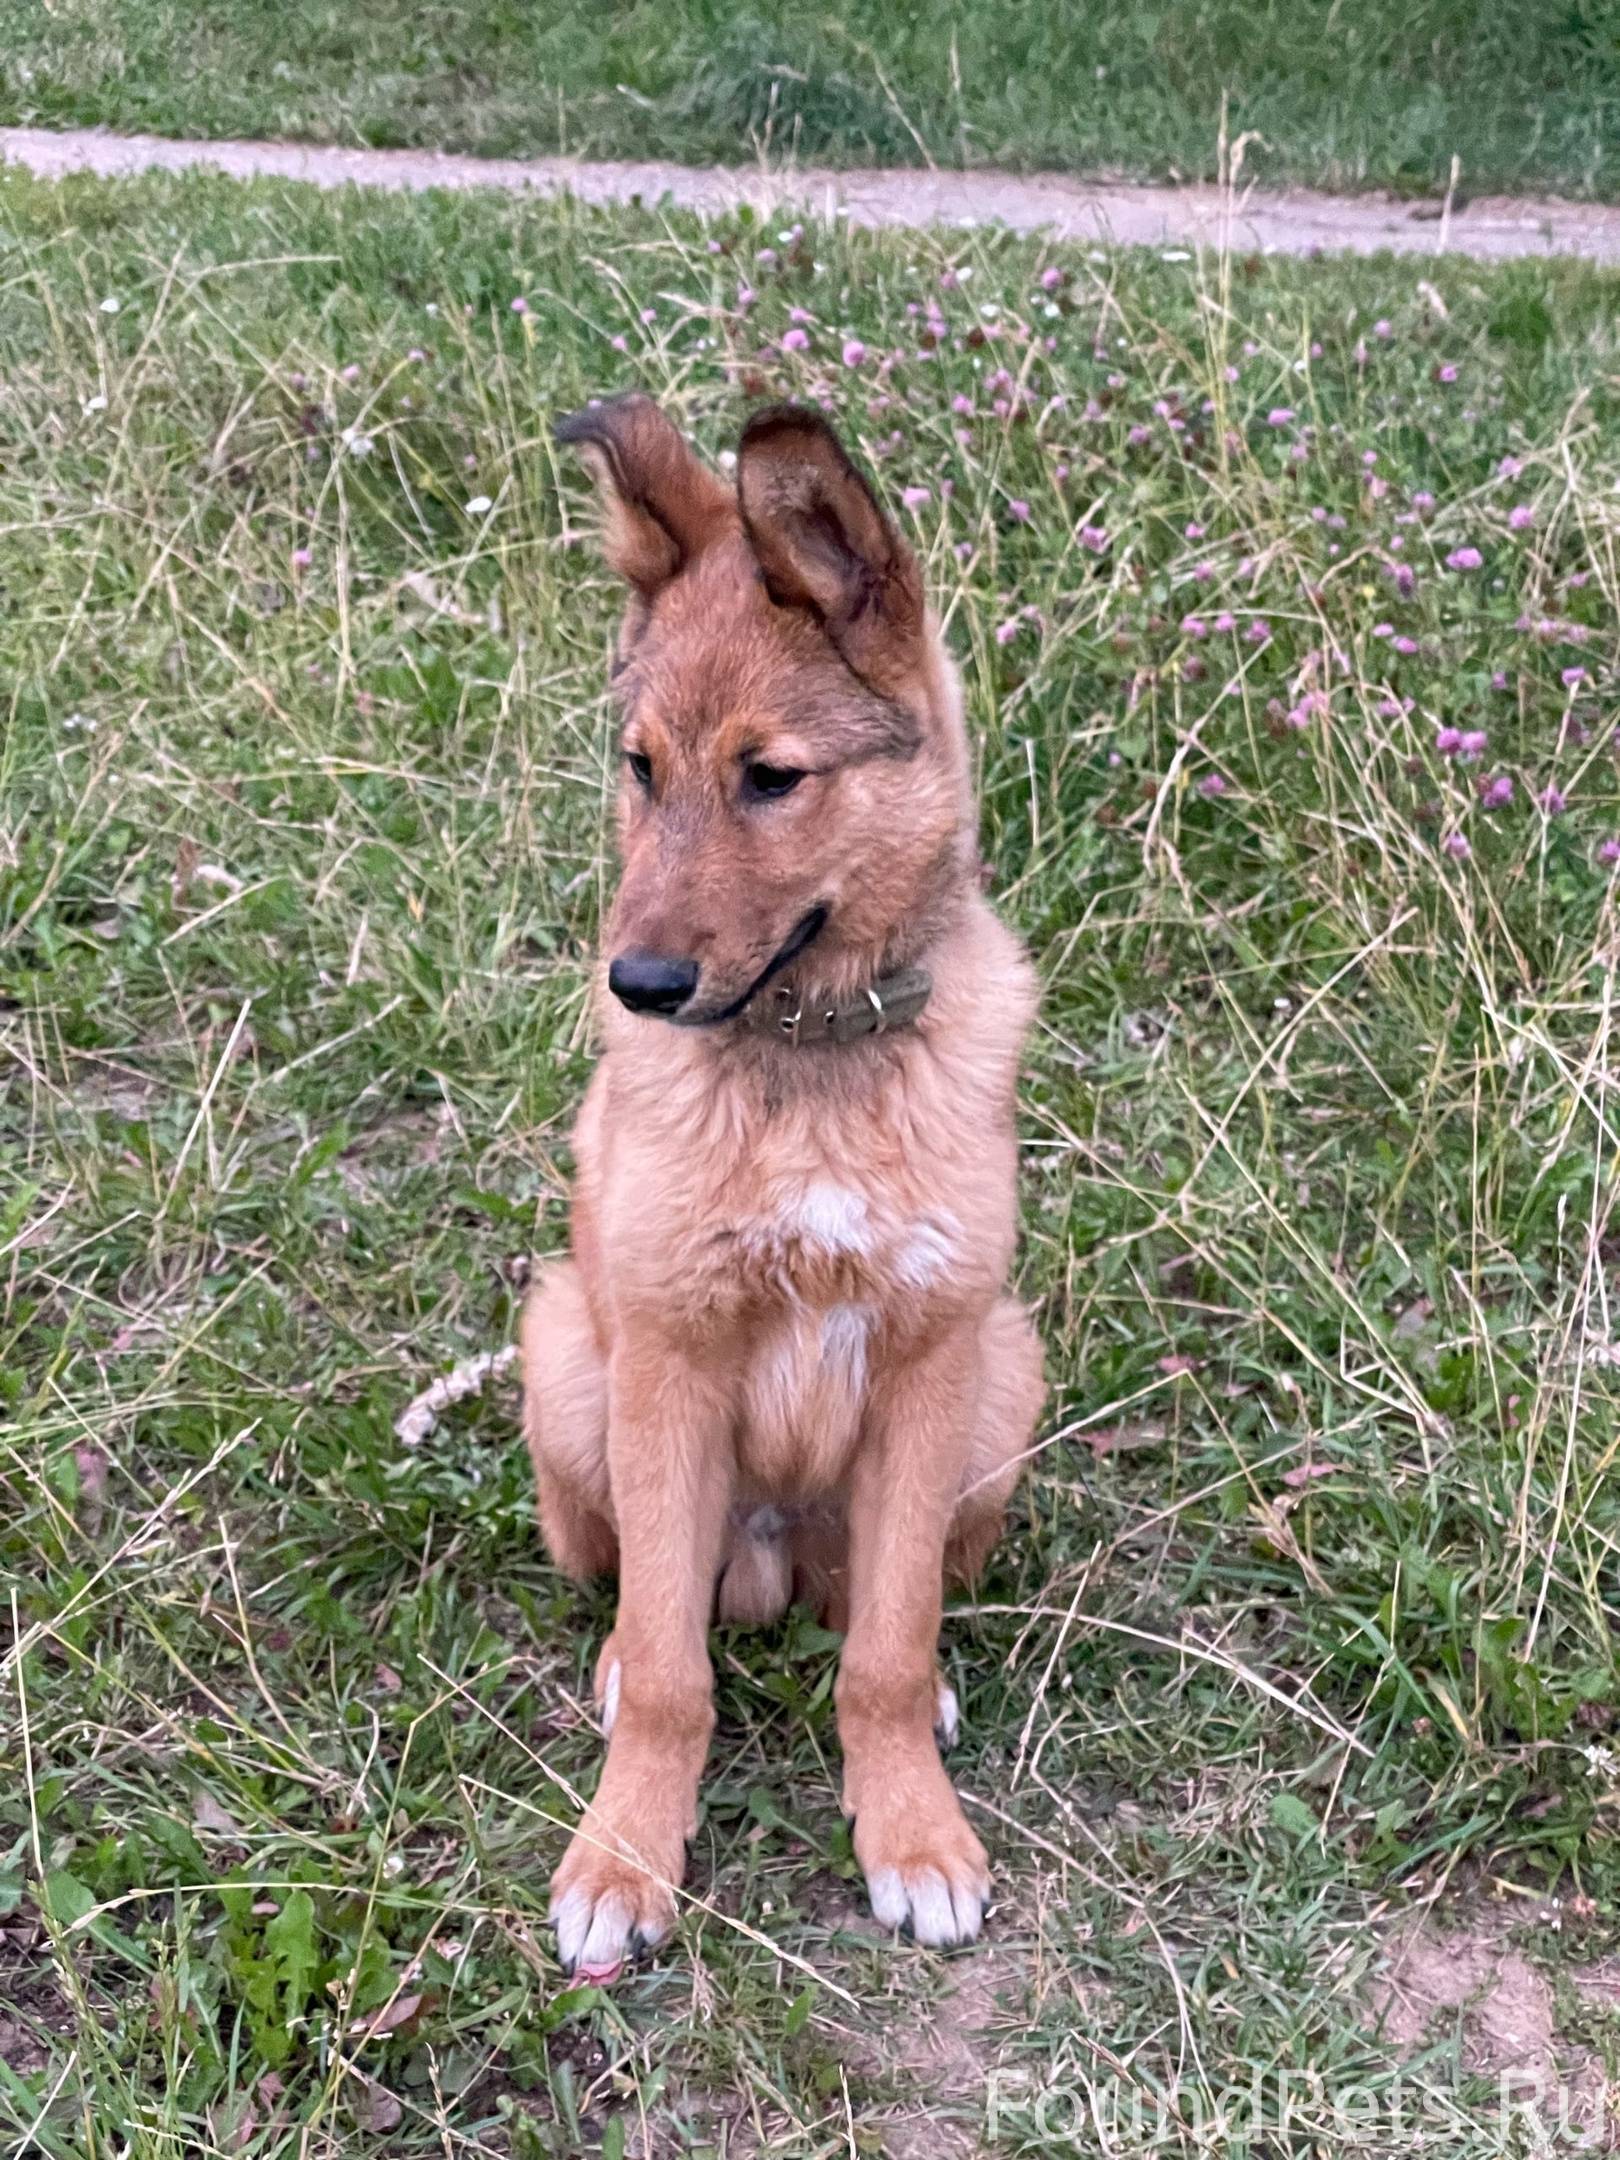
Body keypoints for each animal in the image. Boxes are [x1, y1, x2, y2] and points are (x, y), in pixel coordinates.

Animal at [527, 388, 1045, 1978]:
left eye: (772, 777)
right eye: (640, 768)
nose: (638, 986)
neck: (811, 1071)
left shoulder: (934, 1353)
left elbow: (882, 1649)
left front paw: (913, 1831)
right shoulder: (672, 1357)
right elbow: (678, 1677)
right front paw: (627, 1856)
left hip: (1005, 1385)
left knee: (891, 1597)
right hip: (567, 1362)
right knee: (649, 1598)